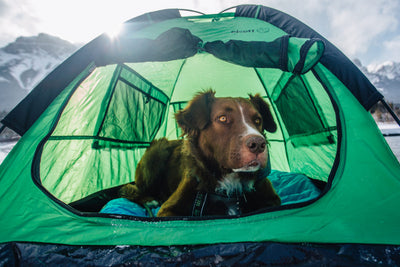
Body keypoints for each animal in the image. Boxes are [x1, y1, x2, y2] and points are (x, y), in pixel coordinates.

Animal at [120, 90, 280, 218]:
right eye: (223, 118)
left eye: (258, 120)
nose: (258, 144)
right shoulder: (168, 210)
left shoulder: (272, 202)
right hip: (157, 150)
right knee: (132, 188)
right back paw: (149, 199)